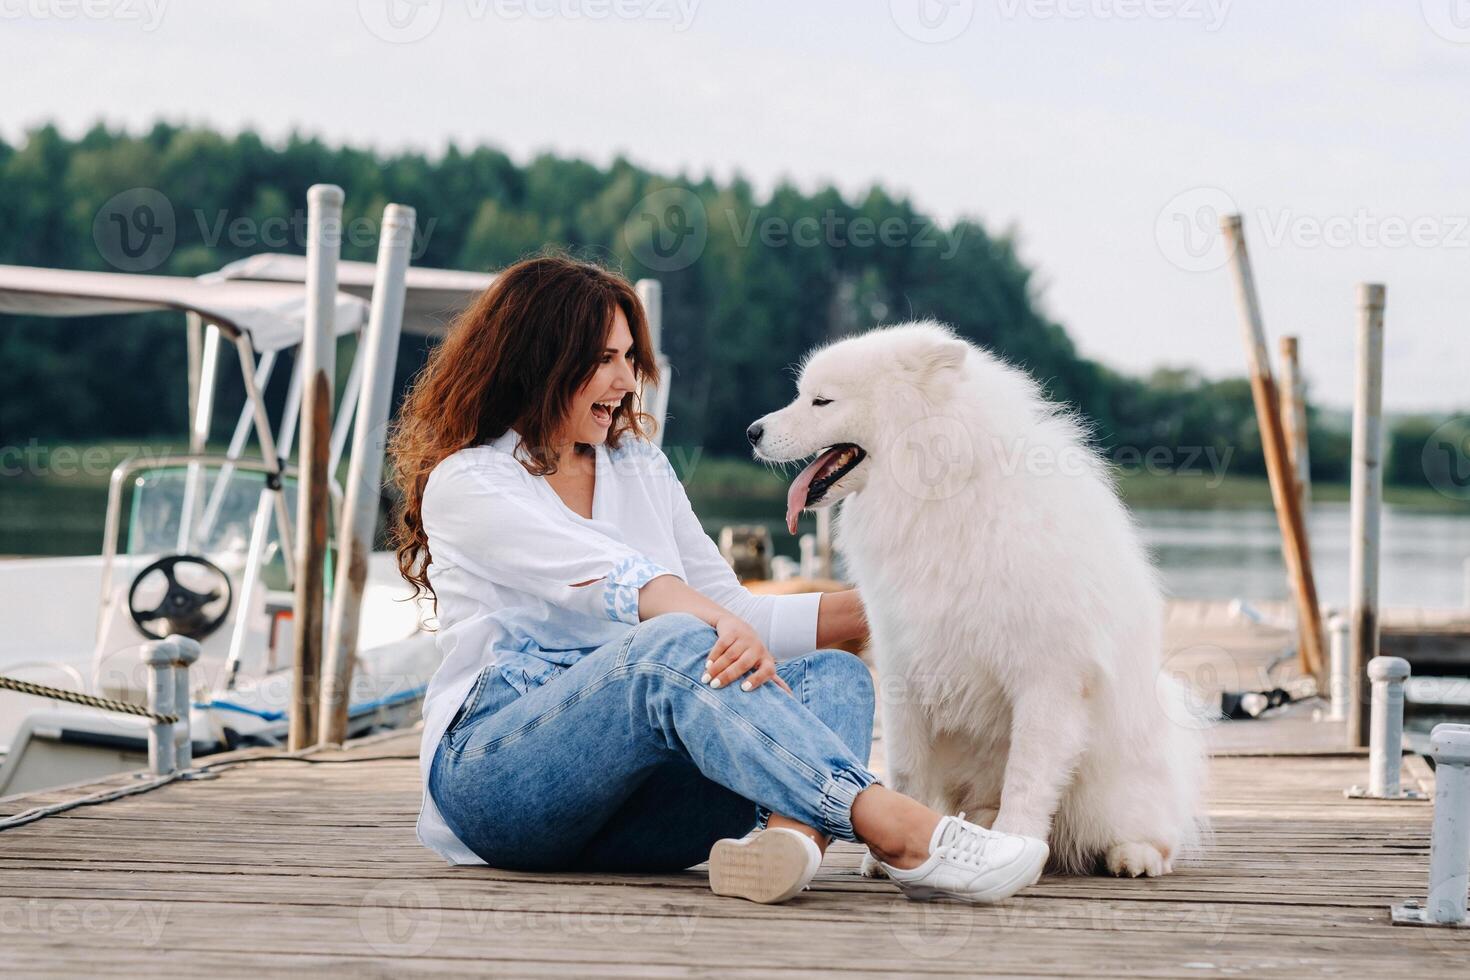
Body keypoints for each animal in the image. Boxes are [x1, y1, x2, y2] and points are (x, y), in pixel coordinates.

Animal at [752, 323, 1199, 881]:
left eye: (821, 400)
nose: (751, 431)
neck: (938, 491)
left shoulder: (1048, 678)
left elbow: (1028, 776)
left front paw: (1016, 843)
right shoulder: (903, 663)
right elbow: (906, 768)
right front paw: (888, 854)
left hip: (1115, 779)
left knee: (1154, 828)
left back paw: (1132, 855)